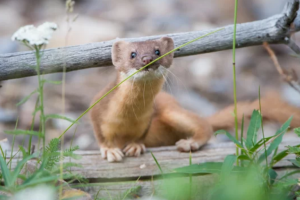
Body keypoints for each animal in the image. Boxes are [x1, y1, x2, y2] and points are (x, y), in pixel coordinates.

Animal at [89, 37, 300, 162]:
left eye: (158, 51)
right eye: (132, 54)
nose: (147, 59)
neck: (129, 117)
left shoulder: (148, 118)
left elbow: (141, 135)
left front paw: (134, 146)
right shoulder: (97, 108)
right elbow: (100, 134)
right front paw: (110, 150)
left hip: (171, 110)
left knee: (204, 125)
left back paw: (189, 143)